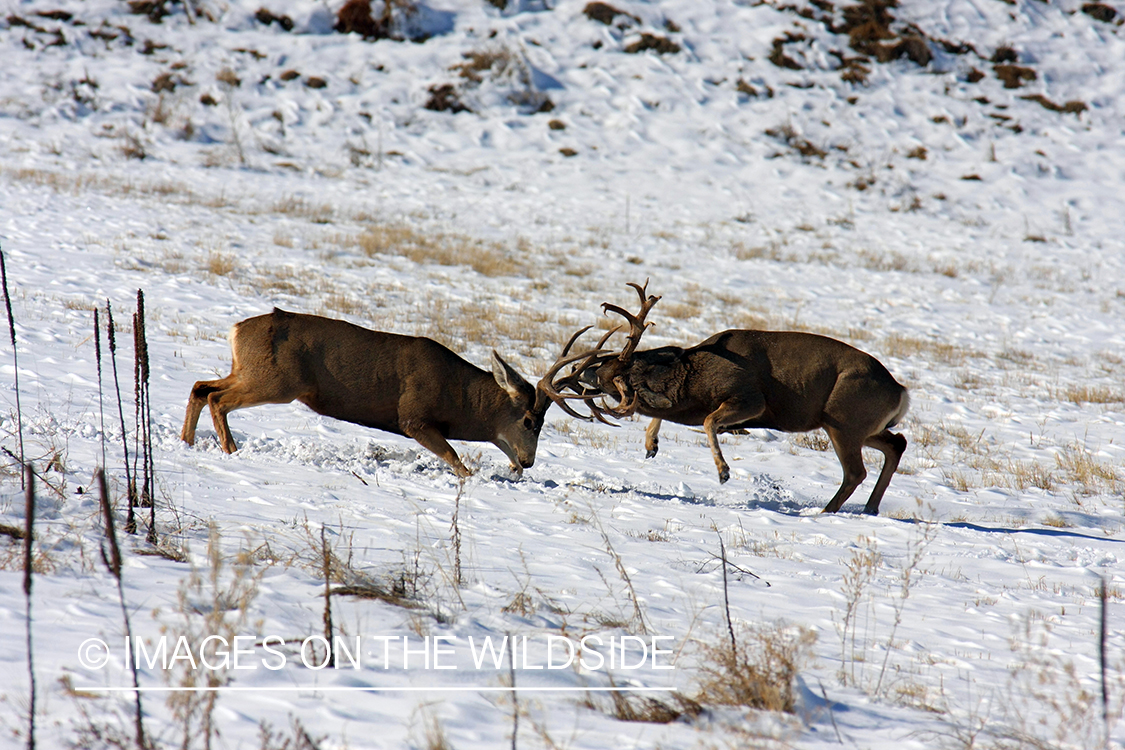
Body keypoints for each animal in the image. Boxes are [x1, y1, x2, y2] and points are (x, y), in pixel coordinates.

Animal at [182, 308, 607, 479]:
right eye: (530, 421)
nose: (528, 462)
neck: (460, 399)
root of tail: (236, 329)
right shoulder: (414, 416)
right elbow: (455, 460)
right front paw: (471, 478)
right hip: (278, 381)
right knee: (217, 398)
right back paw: (231, 450)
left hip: (250, 371)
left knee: (201, 387)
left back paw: (187, 442)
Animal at [549, 283, 909, 517]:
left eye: (618, 372)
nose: (586, 372)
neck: (696, 379)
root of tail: (900, 391)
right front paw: (651, 445)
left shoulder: (750, 398)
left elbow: (709, 420)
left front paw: (723, 472)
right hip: (859, 427)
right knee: (897, 443)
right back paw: (870, 508)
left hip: (843, 420)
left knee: (856, 471)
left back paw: (826, 511)